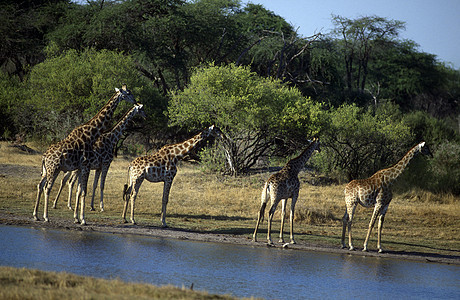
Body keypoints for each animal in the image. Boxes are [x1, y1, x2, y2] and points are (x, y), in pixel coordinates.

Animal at [33, 84, 136, 225]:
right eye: (128, 93)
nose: (136, 101)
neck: (91, 134)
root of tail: (44, 157)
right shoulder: (88, 165)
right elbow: (84, 191)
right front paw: (83, 219)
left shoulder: (83, 167)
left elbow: (80, 190)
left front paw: (77, 217)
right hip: (54, 169)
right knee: (47, 188)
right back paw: (46, 216)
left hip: (46, 170)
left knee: (40, 185)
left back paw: (36, 215)